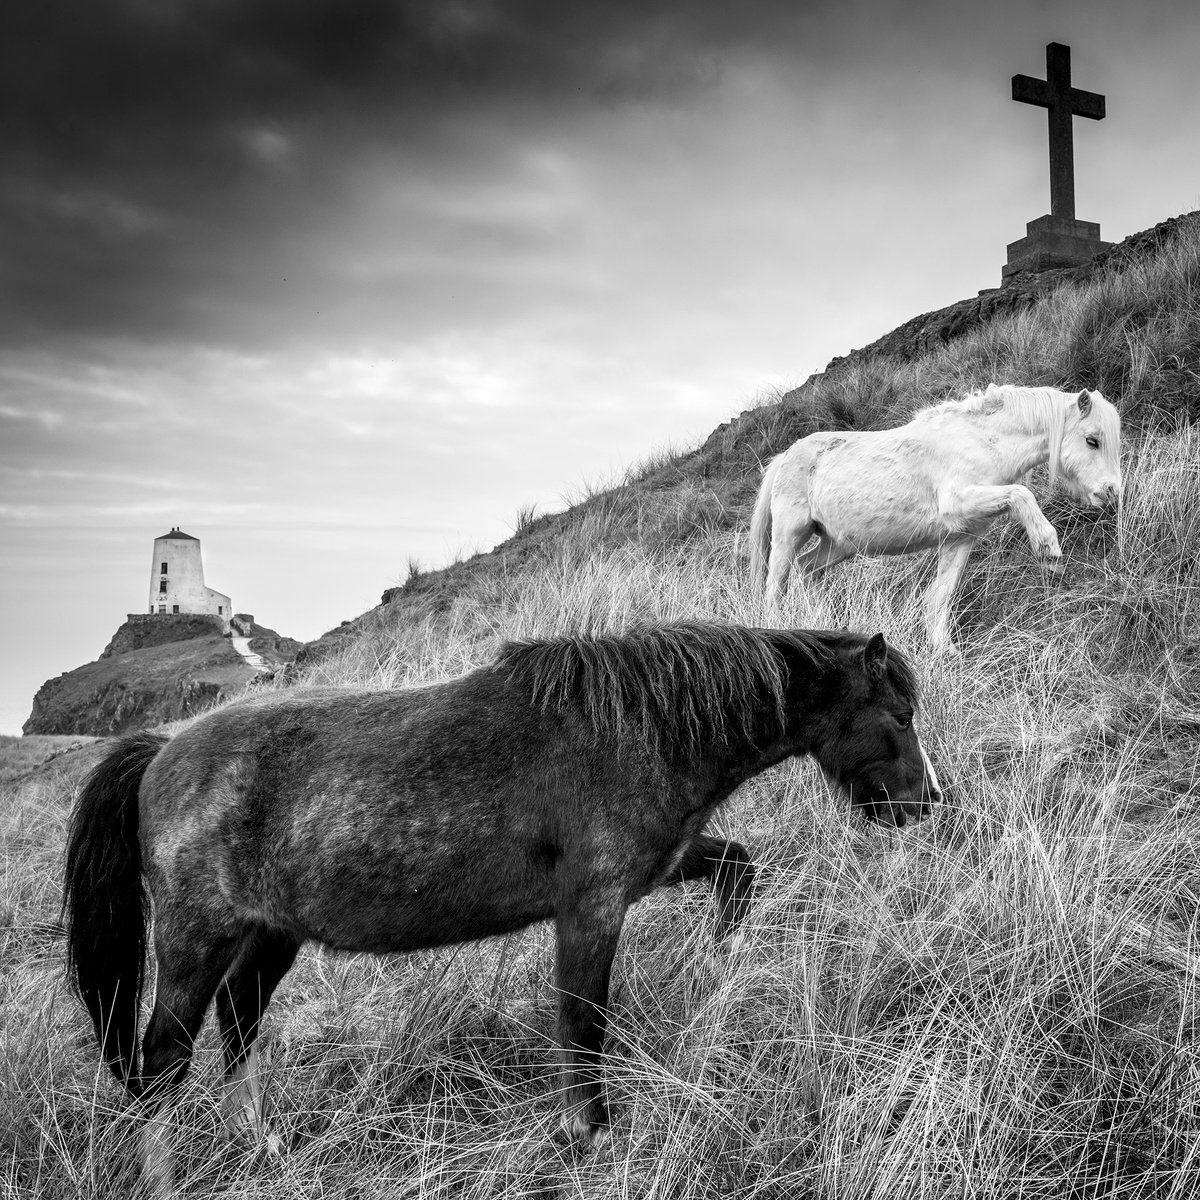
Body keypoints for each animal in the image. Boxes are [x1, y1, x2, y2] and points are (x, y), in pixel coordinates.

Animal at [60, 624, 940, 1195]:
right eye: (898, 718)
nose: (926, 803)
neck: (635, 729)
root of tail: (161, 750)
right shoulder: (591, 906)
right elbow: (583, 1019)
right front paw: (587, 1132)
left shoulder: (655, 868)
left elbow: (736, 870)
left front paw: (720, 961)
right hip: (194, 943)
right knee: (161, 1064)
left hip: (268, 935)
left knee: (238, 1022)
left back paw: (265, 1145)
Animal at [748, 381, 1123, 648]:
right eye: (1092, 440)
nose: (1112, 493)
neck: (980, 441)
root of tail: (785, 456)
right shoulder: (959, 502)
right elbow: (1022, 494)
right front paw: (1048, 550)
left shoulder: (961, 537)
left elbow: (941, 595)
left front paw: (944, 652)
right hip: (788, 536)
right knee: (775, 585)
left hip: (838, 544)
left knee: (808, 571)